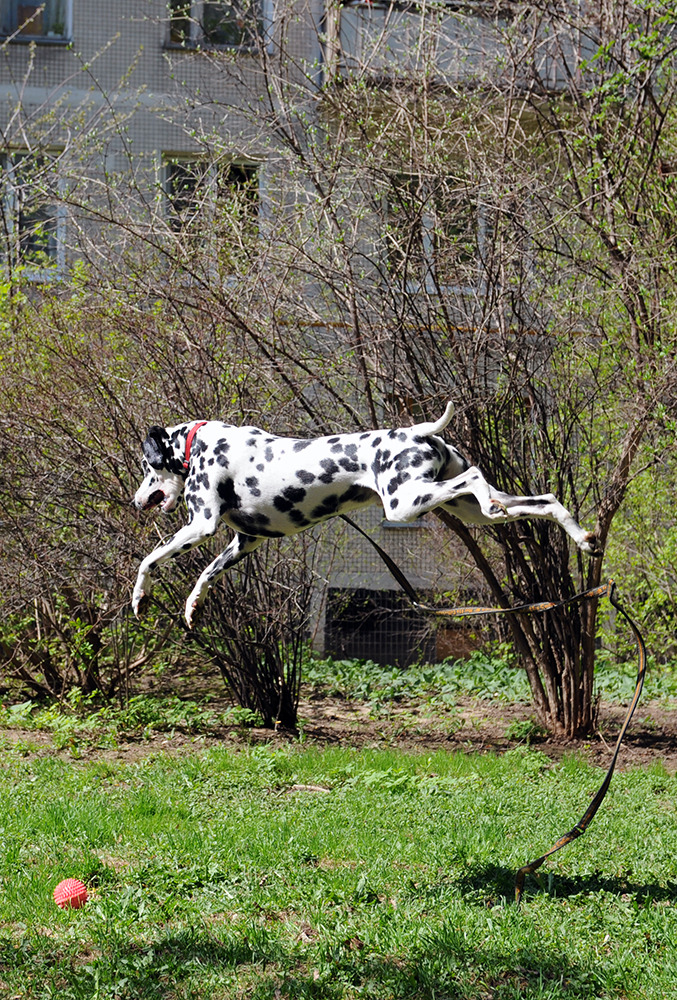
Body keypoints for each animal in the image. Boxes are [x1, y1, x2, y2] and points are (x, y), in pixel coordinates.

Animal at [133, 404, 604, 624]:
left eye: (145, 466)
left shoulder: (200, 525)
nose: (137, 502)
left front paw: (139, 598)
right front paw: (193, 606)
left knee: (476, 476)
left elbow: (149, 560)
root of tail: (416, 432)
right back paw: (583, 538)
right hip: (464, 510)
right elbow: (206, 574)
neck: (199, 443)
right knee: (544, 500)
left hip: (407, 502)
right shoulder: (244, 541)